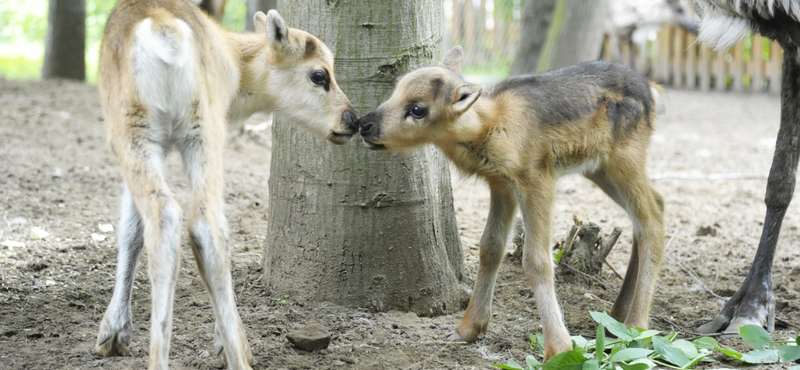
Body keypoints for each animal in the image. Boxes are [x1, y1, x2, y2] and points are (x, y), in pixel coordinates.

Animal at [94, 1, 356, 368]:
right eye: (320, 74)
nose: (353, 119)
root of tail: (163, 30)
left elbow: (130, 229)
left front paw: (114, 333)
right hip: (190, 130)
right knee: (200, 224)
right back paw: (236, 352)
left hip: (148, 131)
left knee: (178, 219)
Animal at [360, 47, 664, 360]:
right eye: (395, 90)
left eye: (418, 109)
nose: (364, 124)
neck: (490, 126)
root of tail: (653, 92)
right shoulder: (501, 186)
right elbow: (490, 247)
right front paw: (467, 329)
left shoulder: (537, 179)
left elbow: (536, 260)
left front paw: (558, 349)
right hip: (599, 168)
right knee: (656, 205)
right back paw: (617, 316)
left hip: (624, 158)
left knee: (652, 222)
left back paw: (636, 327)